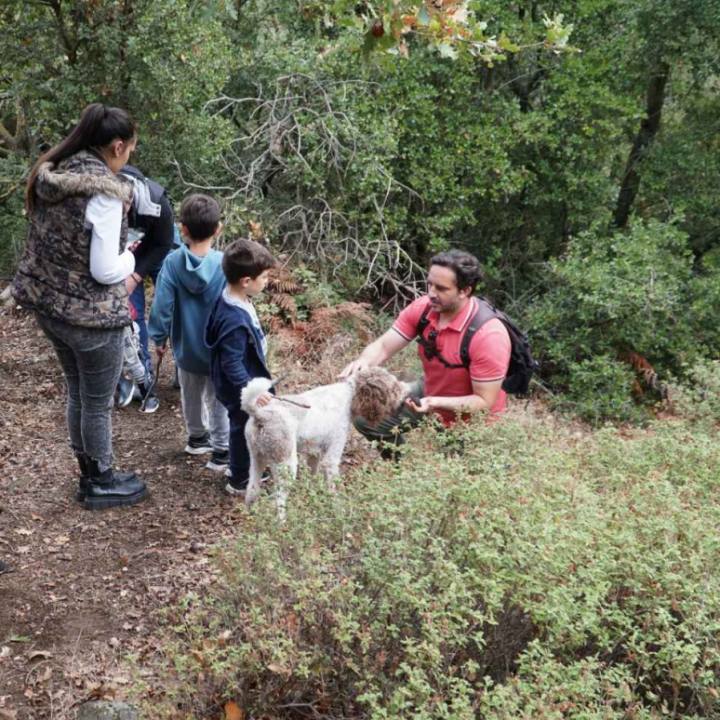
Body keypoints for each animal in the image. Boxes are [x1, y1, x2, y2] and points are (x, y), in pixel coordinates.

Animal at [240, 368, 408, 520]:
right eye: (393, 387)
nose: (406, 392)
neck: (348, 394)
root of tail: (260, 415)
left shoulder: (314, 453)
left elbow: (312, 477)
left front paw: (313, 496)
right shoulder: (332, 456)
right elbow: (333, 487)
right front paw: (339, 509)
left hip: (256, 459)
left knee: (252, 490)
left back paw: (249, 514)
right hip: (286, 464)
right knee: (279, 500)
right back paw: (282, 524)